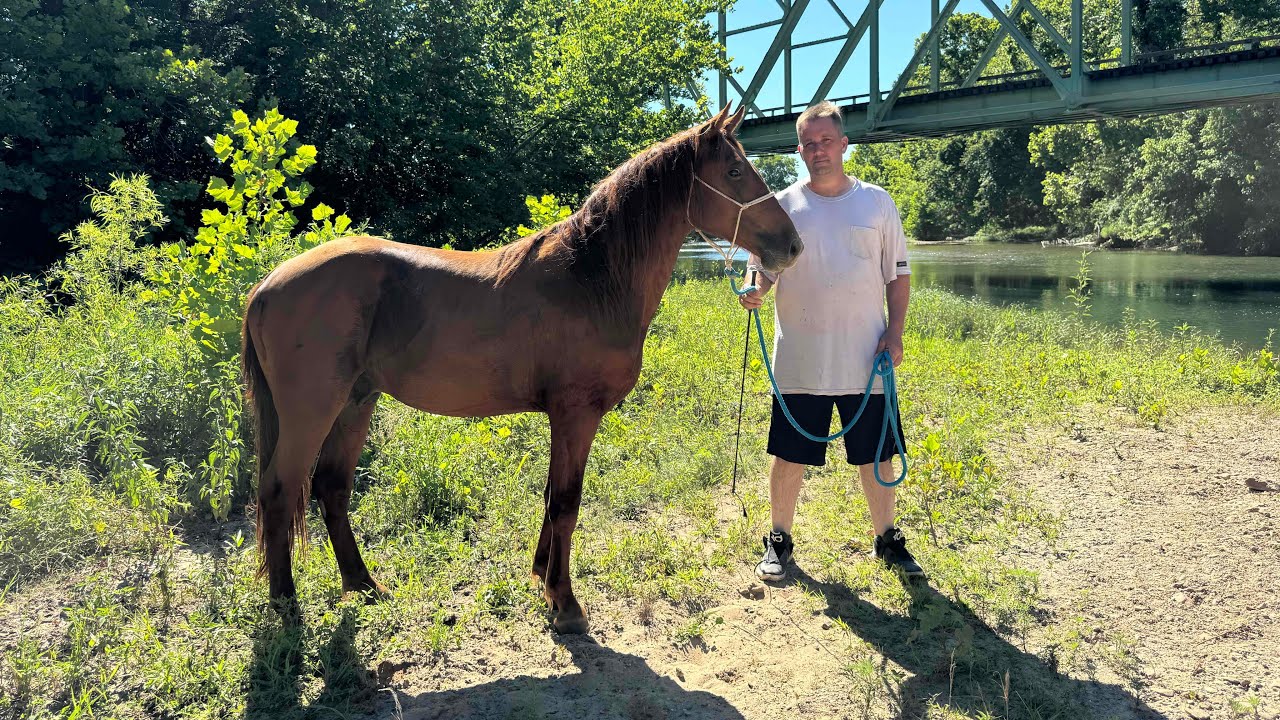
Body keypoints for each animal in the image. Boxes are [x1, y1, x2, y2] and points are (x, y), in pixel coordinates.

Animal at [241, 104, 802, 634]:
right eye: (734, 170)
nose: (792, 246)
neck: (591, 277)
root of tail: (267, 285)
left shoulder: (563, 418)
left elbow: (552, 496)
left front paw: (542, 579)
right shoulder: (576, 414)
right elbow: (567, 503)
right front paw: (566, 604)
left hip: (356, 402)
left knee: (331, 488)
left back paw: (363, 585)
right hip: (311, 412)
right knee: (280, 492)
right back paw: (288, 607)